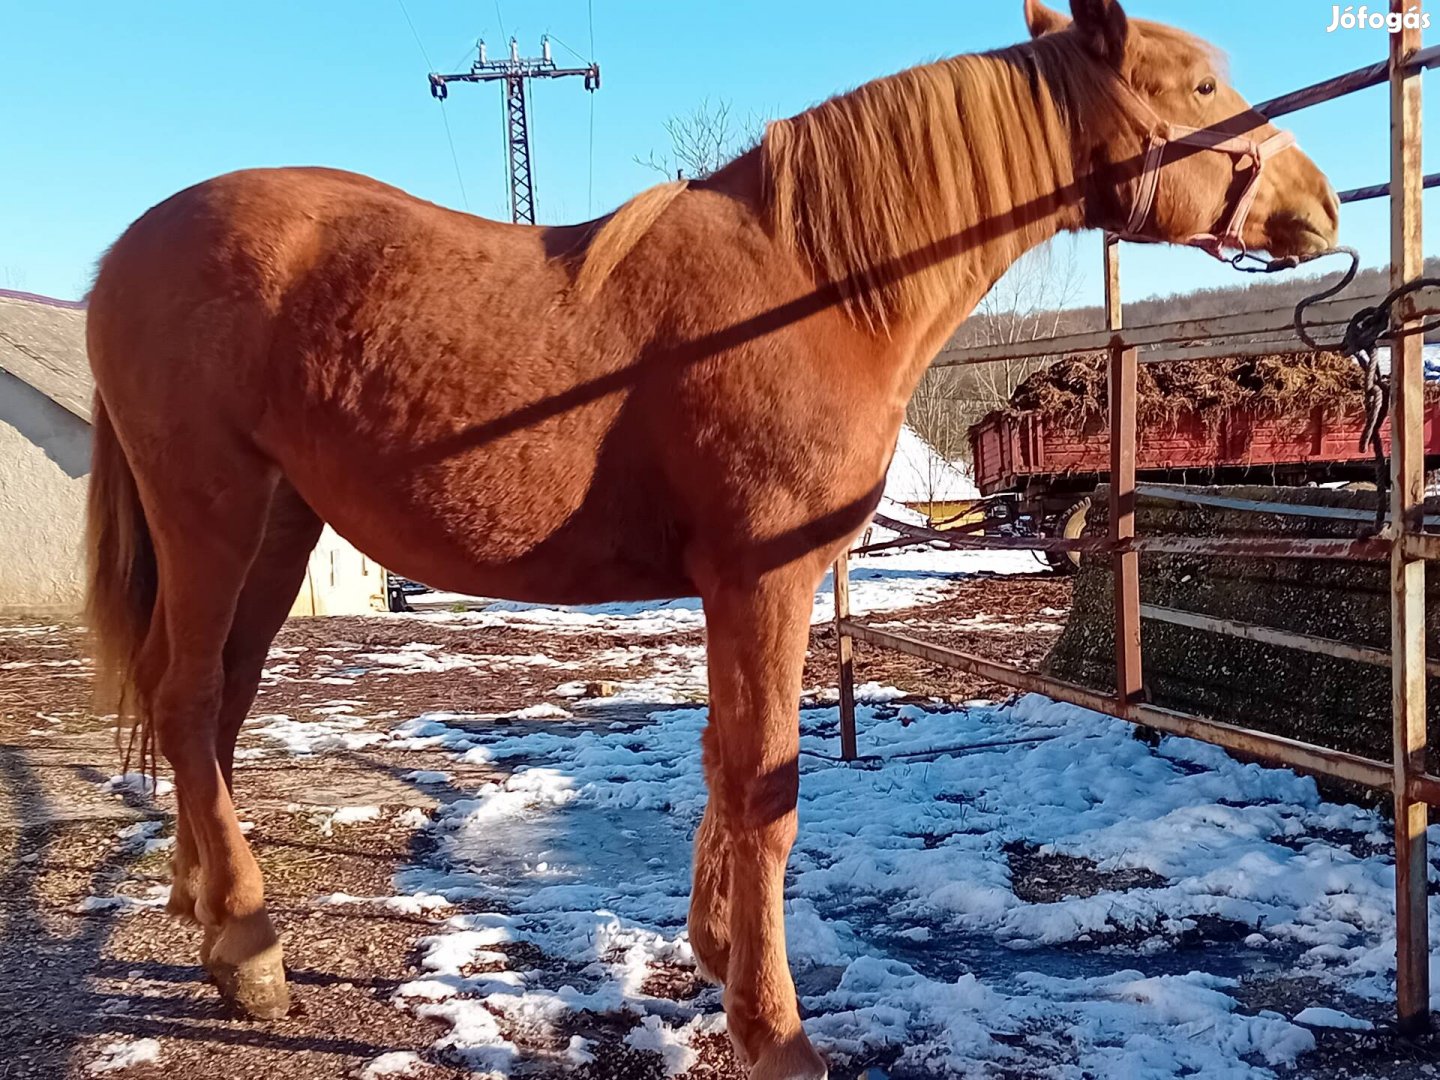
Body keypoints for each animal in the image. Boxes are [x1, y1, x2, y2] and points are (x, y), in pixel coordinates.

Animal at [84, 4, 1330, 1077]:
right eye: (1204, 86)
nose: (1320, 205)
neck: (816, 290)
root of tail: (124, 252)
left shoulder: (743, 590)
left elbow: (724, 766)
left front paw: (719, 952)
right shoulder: (763, 579)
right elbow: (764, 789)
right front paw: (773, 1029)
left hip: (276, 532)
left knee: (217, 710)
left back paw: (208, 913)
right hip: (210, 513)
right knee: (190, 702)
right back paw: (250, 956)